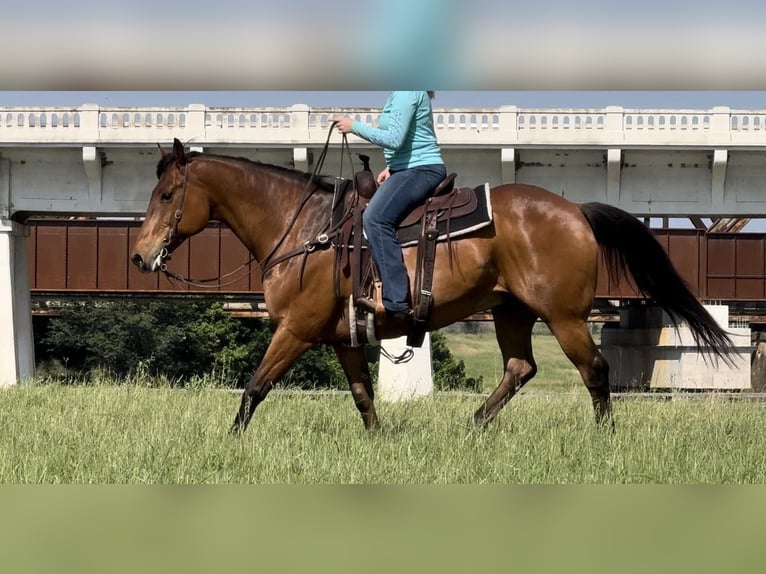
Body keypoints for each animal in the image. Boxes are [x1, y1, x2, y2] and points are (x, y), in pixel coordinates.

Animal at [132, 141, 736, 436]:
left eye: (167, 195)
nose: (139, 256)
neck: (307, 232)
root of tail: (576, 210)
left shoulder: (296, 331)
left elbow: (255, 387)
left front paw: (229, 442)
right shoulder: (344, 339)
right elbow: (363, 397)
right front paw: (380, 444)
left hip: (563, 316)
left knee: (595, 370)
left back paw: (604, 439)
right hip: (510, 312)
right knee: (520, 368)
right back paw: (473, 427)